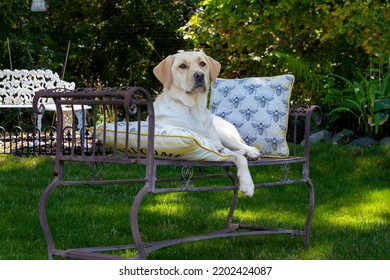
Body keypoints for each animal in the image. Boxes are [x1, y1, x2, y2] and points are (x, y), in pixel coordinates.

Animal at [152, 50, 258, 195]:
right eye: (182, 66)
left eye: (202, 64)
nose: (199, 75)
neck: (195, 108)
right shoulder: (215, 151)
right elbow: (237, 156)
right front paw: (247, 183)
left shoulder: (218, 148)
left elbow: (241, 159)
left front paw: (247, 183)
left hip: (224, 134)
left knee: (241, 145)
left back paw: (251, 152)